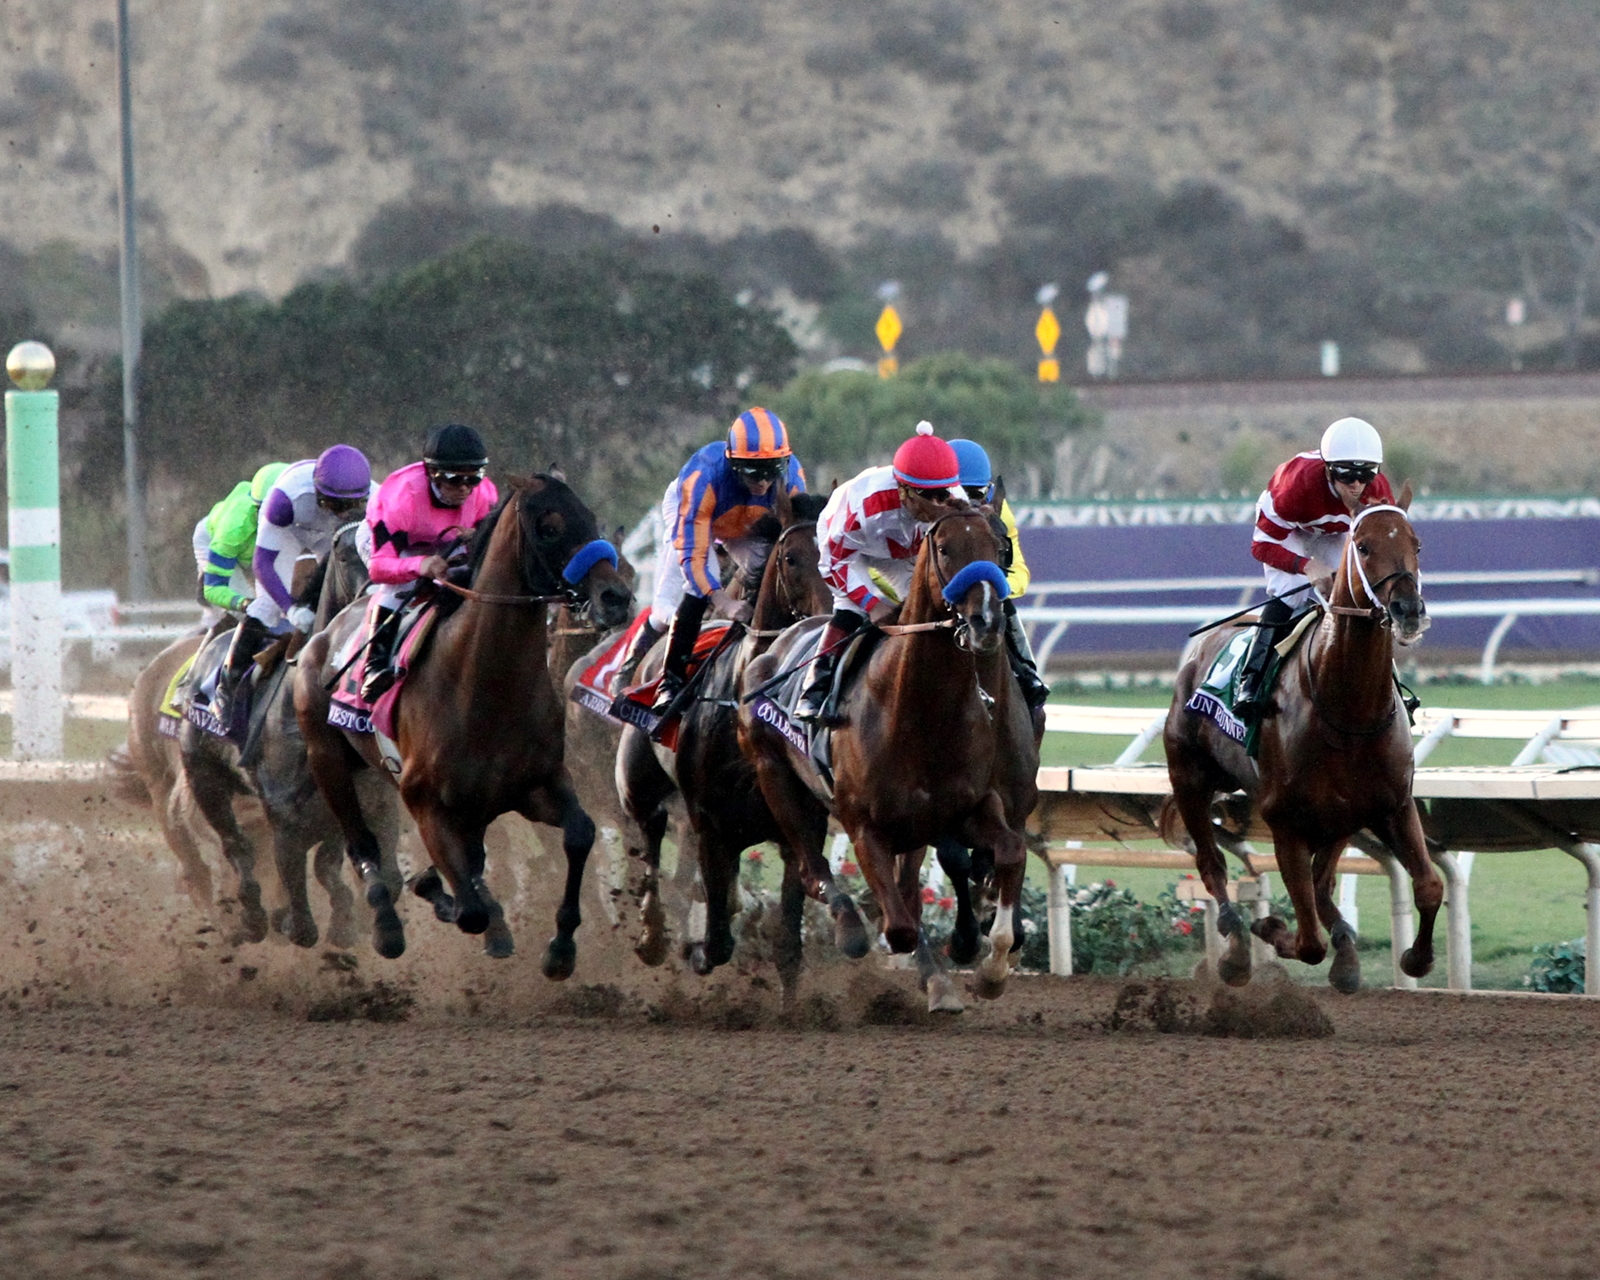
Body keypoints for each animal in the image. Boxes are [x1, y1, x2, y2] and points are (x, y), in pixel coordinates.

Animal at [176, 518, 385, 947]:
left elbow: (327, 863)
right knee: (235, 845)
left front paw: (343, 924)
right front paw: (289, 919)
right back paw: (252, 914)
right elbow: (299, 908)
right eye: (344, 555)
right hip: (204, 775)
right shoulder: (282, 808)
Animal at [294, 473, 630, 972]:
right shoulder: (425, 803)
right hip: (329, 761)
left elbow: (579, 834)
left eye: (589, 516)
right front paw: (444, 894)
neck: (484, 688)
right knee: (362, 844)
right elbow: (469, 908)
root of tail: (328, 631)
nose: (616, 597)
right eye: (549, 528)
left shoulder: (539, 784)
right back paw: (387, 926)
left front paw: (561, 946)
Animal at [617, 489, 832, 992]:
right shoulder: (711, 828)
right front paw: (692, 949)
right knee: (650, 840)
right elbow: (717, 943)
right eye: (791, 558)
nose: (828, 618)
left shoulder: (801, 831)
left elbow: (788, 946)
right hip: (636, 785)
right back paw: (652, 934)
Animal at [736, 499, 1036, 1011]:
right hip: (775, 775)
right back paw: (849, 928)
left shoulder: (969, 809)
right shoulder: (865, 827)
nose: (986, 622)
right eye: (943, 548)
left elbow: (1009, 853)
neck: (921, 710)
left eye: (1001, 548)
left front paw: (990, 970)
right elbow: (899, 927)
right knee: (812, 869)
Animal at [1164, 489, 1440, 992]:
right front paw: (1269, 927)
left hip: (1339, 818)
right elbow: (1308, 941)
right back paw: (1236, 947)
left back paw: (1345, 950)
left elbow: (1429, 886)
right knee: (1212, 866)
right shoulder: (1284, 821)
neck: (1346, 710)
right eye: (1363, 546)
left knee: (1320, 883)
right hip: (1188, 776)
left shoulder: (1391, 804)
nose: (1408, 611)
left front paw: (1416, 958)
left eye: (1417, 543)